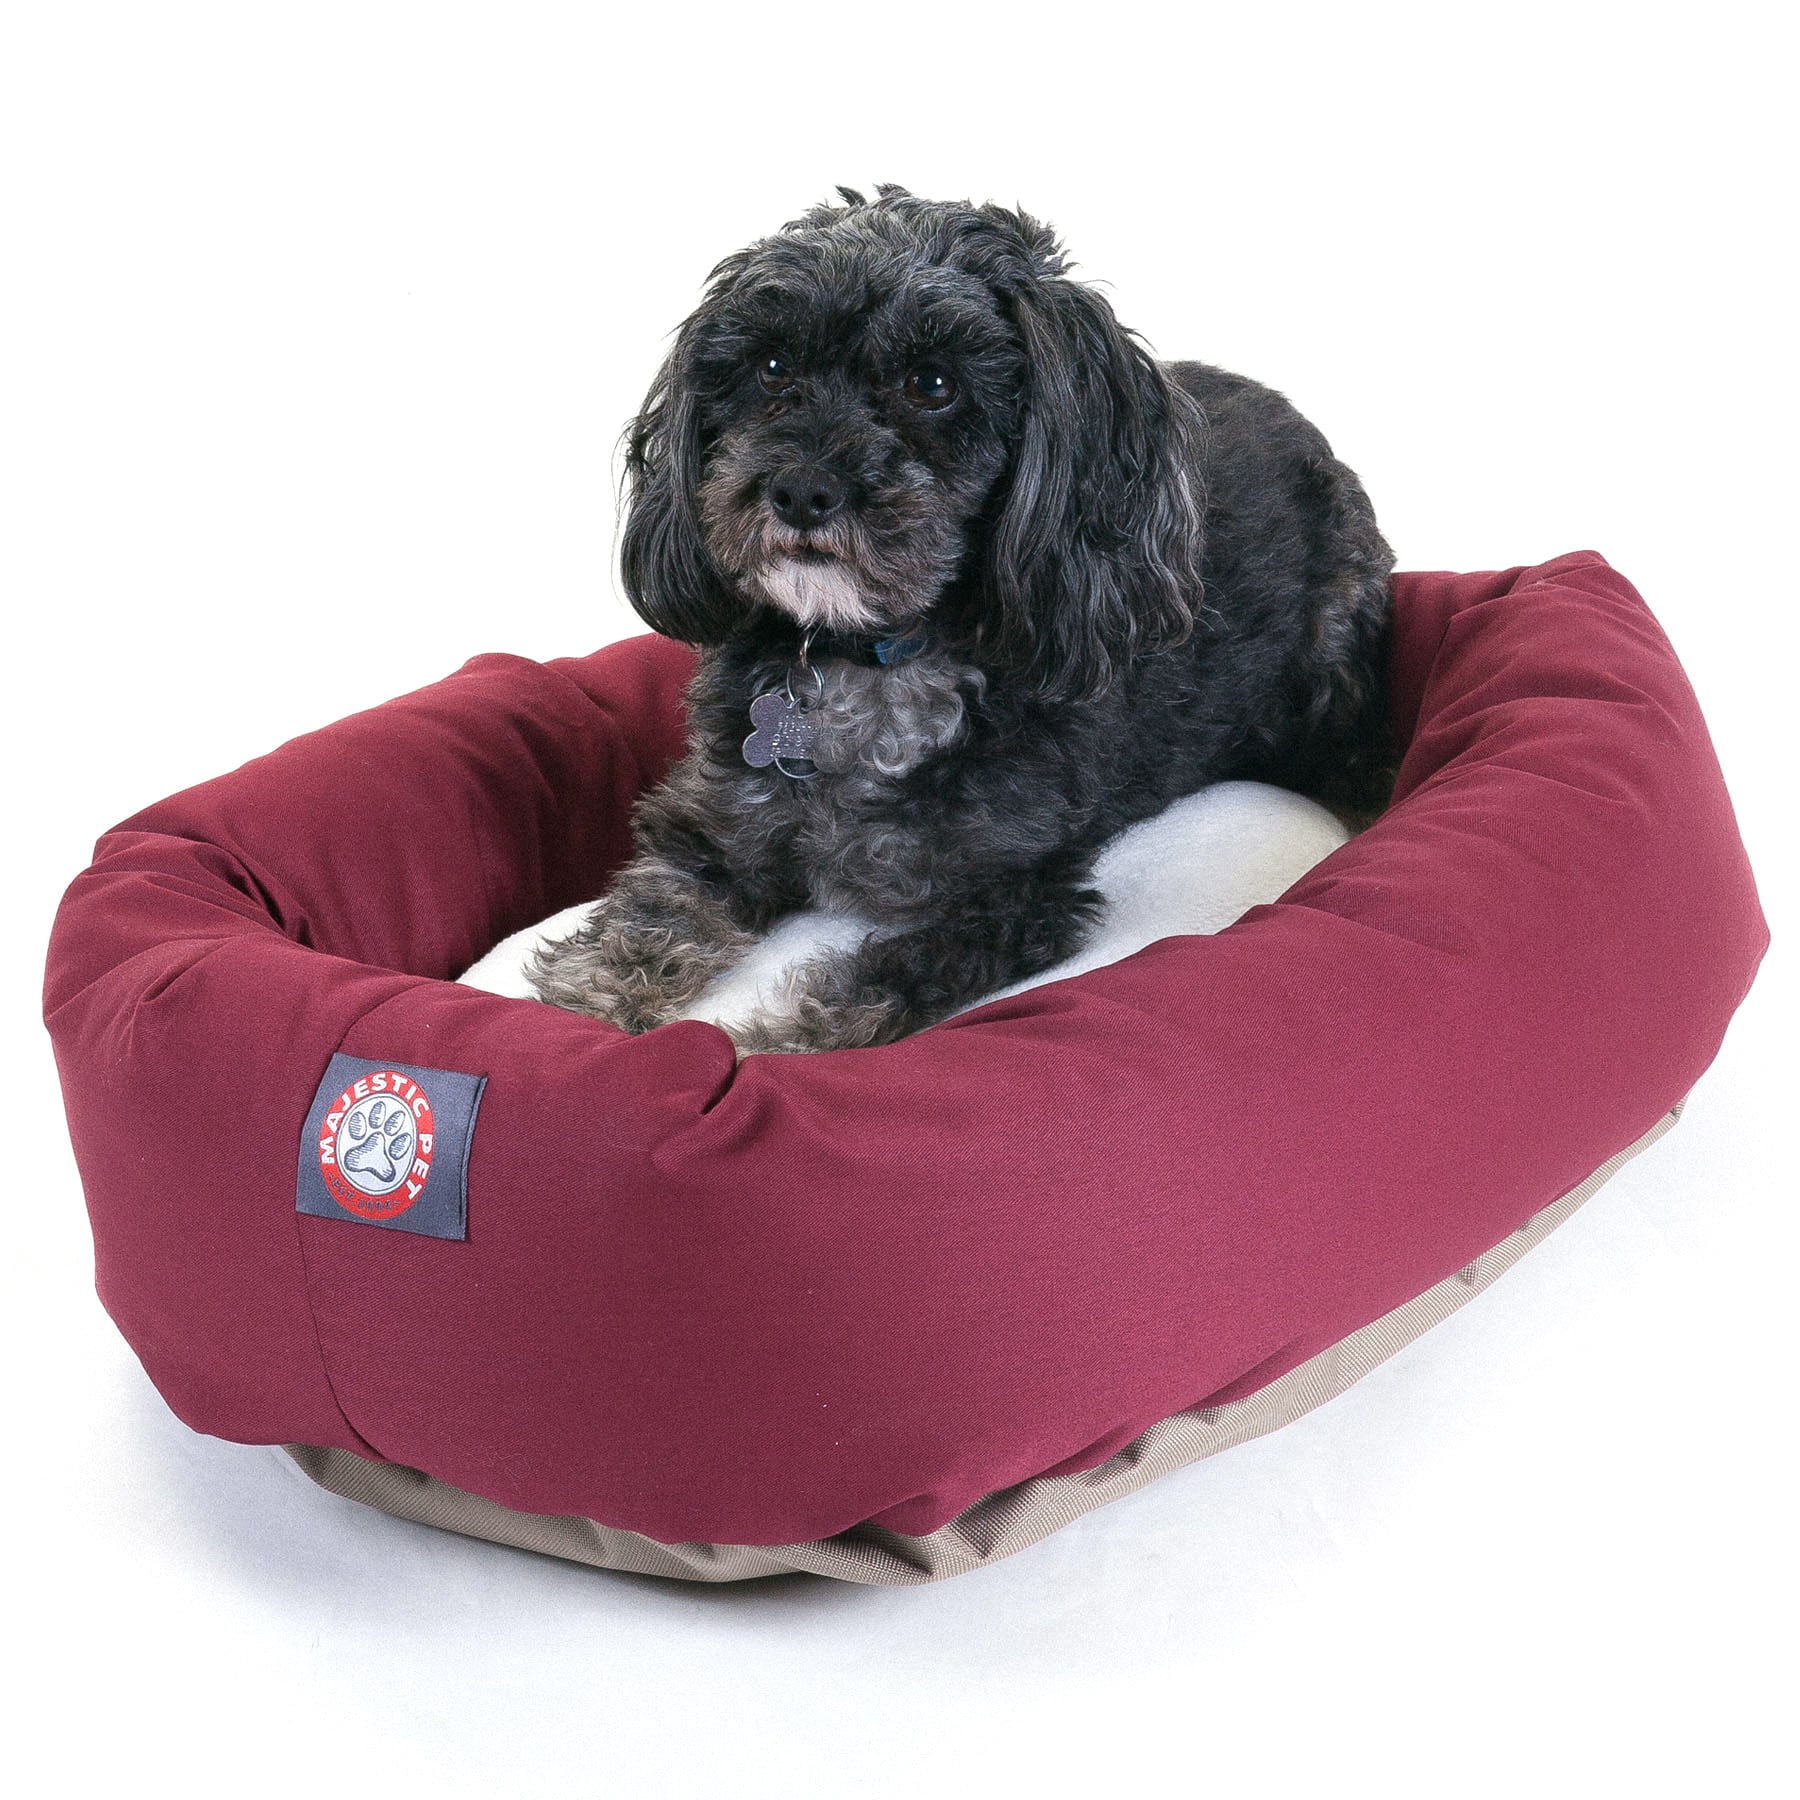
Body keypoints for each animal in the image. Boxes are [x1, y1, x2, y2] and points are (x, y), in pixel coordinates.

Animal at [529, 186, 1395, 1053]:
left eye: (933, 383)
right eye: (772, 368)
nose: (801, 489)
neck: (868, 660)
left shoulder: (1014, 894)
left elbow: (874, 988)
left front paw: (761, 1045)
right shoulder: (717, 822)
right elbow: (654, 907)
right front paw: (587, 1008)